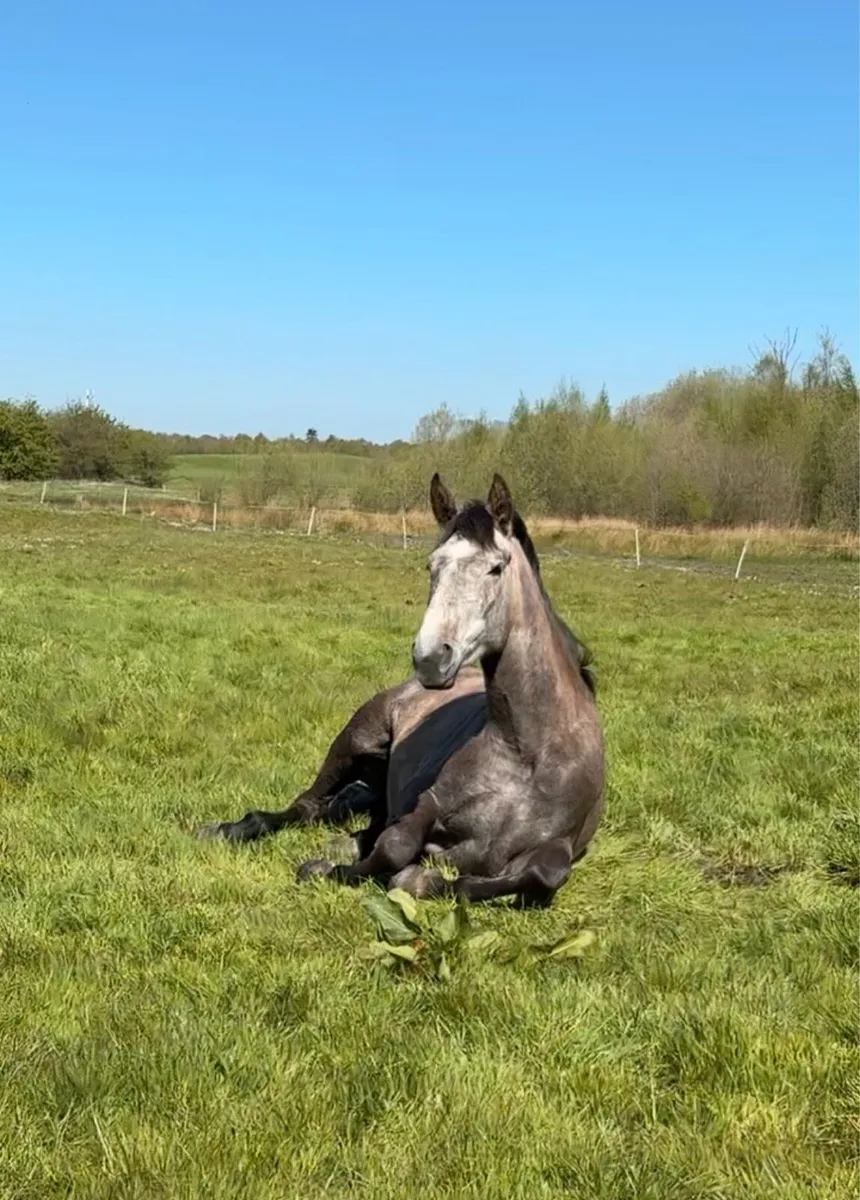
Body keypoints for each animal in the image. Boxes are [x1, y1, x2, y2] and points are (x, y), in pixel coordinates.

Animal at [196, 473, 604, 908]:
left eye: (496, 568)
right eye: (431, 565)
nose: (431, 658)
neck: (525, 754)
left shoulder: (561, 846)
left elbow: (543, 876)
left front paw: (422, 879)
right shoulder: (426, 804)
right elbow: (396, 846)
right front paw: (322, 870)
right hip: (354, 742)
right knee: (307, 806)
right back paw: (226, 830)